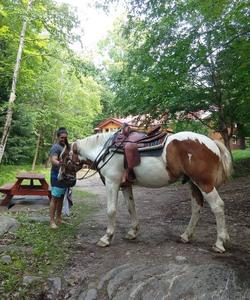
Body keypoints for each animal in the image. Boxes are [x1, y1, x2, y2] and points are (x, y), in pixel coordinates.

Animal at [58, 131, 232, 253]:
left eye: (64, 158)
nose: (60, 178)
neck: (106, 150)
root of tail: (212, 143)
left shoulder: (112, 183)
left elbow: (111, 210)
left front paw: (106, 238)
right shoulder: (125, 185)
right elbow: (131, 207)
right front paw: (132, 232)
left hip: (204, 184)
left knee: (218, 206)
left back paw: (219, 243)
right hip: (193, 184)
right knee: (196, 207)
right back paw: (186, 236)